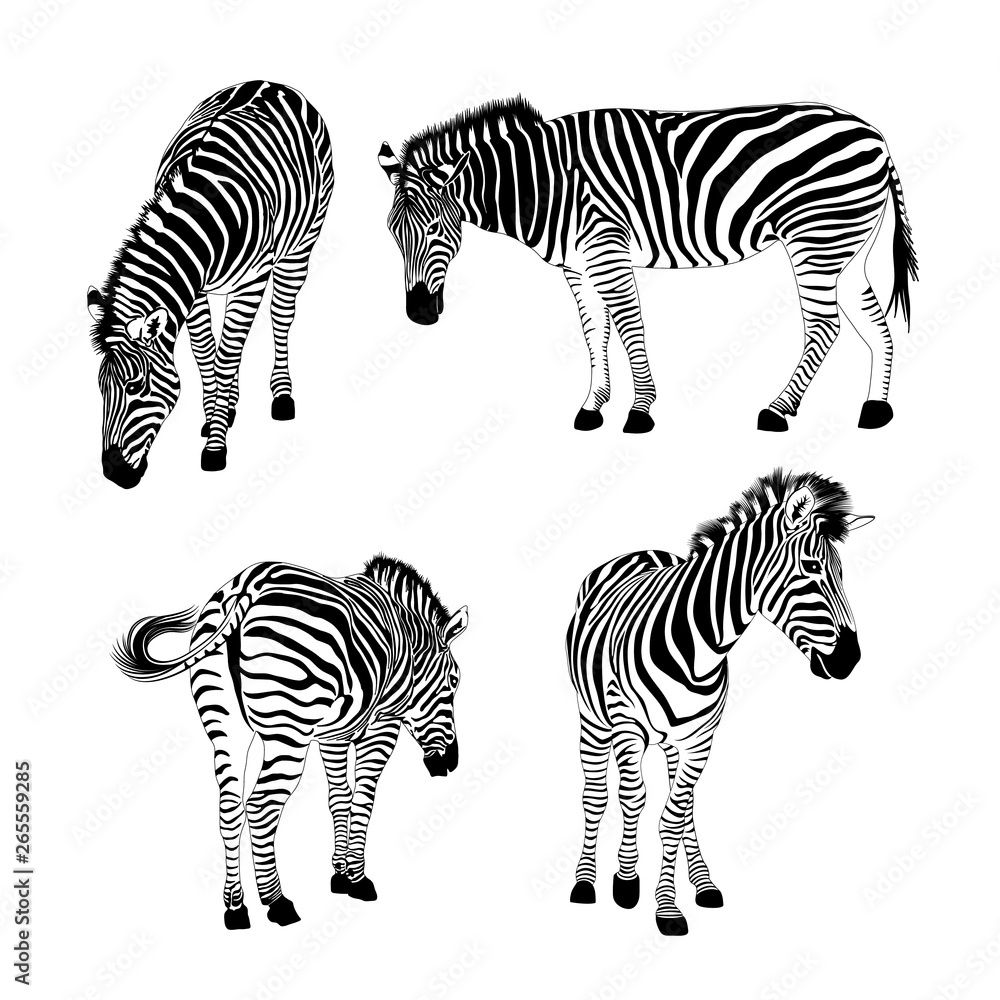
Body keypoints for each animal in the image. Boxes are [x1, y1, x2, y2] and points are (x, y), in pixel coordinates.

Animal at [89, 81, 334, 488]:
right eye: (100, 386)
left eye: (136, 387)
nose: (112, 473)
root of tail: (269, 81)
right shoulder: (193, 291)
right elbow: (206, 353)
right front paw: (214, 417)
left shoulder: (251, 280)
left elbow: (227, 356)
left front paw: (216, 446)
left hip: (301, 243)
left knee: (281, 316)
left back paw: (281, 395)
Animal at [112, 556, 468, 929]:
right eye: (454, 681)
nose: (451, 762)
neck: (410, 641)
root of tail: (248, 583)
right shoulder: (382, 725)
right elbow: (364, 801)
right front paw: (357, 879)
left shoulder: (332, 734)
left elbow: (339, 798)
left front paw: (339, 874)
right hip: (289, 728)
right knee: (260, 806)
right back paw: (277, 902)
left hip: (225, 726)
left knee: (229, 808)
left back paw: (235, 907)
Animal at [379, 99, 917, 433]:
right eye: (393, 234)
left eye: (435, 229)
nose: (418, 315)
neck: (543, 182)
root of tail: (874, 134)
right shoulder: (576, 265)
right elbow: (594, 332)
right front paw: (593, 407)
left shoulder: (607, 247)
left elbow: (628, 325)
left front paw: (639, 411)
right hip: (848, 245)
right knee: (873, 320)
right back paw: (876, 408)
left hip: (818, 237)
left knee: (825, 326)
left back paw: (778, 410)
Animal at [565, 469, 873, 935]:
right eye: (812, 568)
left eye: (840, 572)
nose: (850, 660)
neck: (700, 645)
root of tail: (636, 552)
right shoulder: (627, 727)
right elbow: (632, 800)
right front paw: (627, 883)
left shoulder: (701, 738)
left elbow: (675, 816)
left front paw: (668, 907)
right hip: (594, 721)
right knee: (597, 795)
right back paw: (586, 882)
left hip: (674, 741)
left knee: (683, 805)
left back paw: (703, 884)